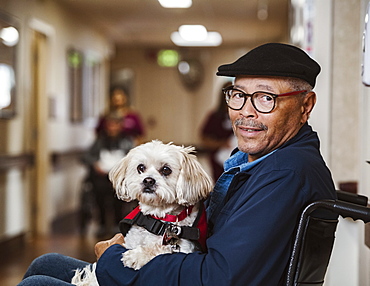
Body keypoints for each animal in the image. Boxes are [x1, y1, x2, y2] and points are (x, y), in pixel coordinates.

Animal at [71, 140, 214, 284]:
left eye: (166, 170)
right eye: (140, 167)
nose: (148, 180)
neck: (158, 221)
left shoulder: (184, 249)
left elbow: (161, 248)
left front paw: (137, 256)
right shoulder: (130, 241)